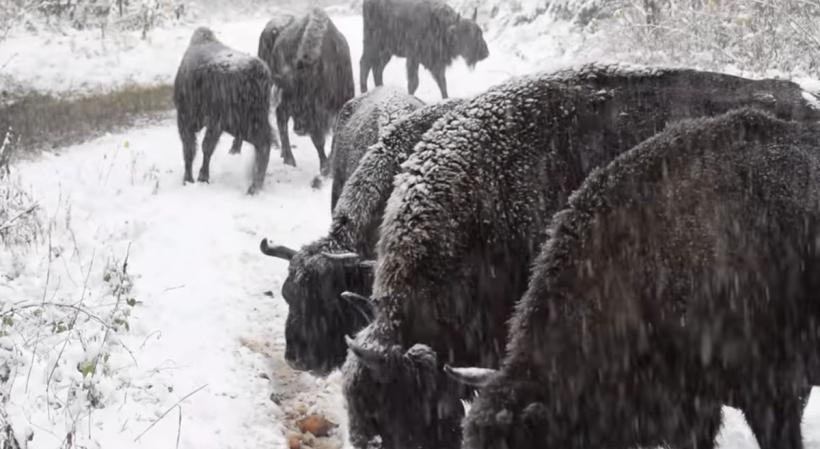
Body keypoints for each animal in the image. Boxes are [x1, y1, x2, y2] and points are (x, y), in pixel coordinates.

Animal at [173, 26, 276, 194]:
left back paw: (253, 187)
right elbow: (196, 149)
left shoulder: (194, 122)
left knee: (262, 144)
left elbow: (196, 149)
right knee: (263, 144)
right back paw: (254, 186)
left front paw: (195, 178)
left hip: (238, 123)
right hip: (249, 122)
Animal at [260, 7, 356, 175]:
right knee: (281, 117)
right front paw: (325, 167)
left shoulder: (342, 103)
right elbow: (319, 141)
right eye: (295, 98)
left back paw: (285, 154)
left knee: (280, 115)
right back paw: (289, 159)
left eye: (312, 95)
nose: (299, 129)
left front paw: (329, 165)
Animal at [358, 0, 486, 98]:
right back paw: (364, 92)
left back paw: (380, 88)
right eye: (468, 33)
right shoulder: (413, 58)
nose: (485, 52)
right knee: (365, 64)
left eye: (480, 32)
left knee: (377, 68)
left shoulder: (437, 62)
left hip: (386, 52)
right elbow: (414, 83)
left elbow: (442, 83)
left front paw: (446, 98)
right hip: (372, 44)